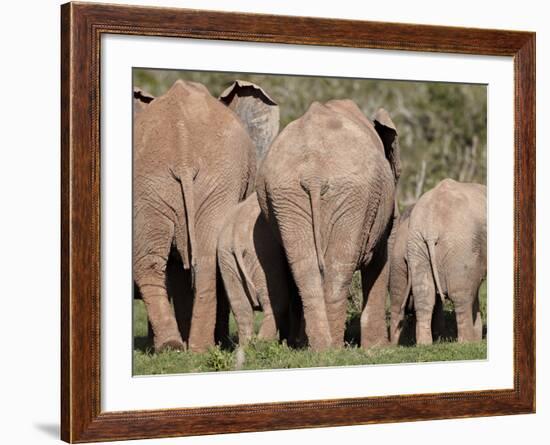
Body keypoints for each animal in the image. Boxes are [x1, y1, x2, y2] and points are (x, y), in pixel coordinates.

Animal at [134, 79, 280, 350]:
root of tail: (181, 141)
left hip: (157, 183)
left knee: (162, 260)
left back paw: (177, 346)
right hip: (205, 180)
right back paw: (198, 347)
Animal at [256, 99, 404, 350]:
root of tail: (313, 174)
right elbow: (381, 257)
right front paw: (378, 348)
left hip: (285, 196)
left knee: (304, 268)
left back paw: (318, 347)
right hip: (353, 195)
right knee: (338, 266)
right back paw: (333, 347)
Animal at [392, 178, 488, 344]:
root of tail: (431, 226)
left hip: (417, 243)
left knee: (424, 295)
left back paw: (424, 344)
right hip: (460, 245)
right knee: (461, 295)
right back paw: (466, 343)